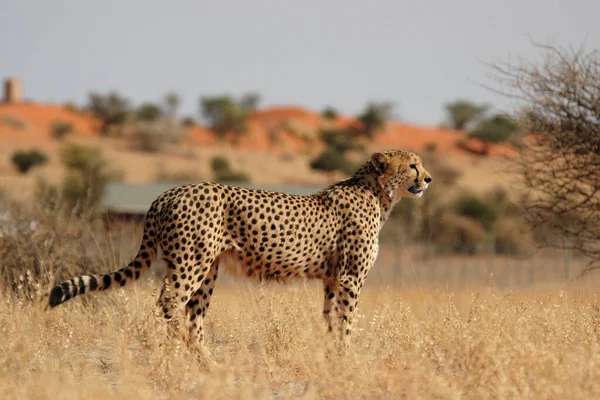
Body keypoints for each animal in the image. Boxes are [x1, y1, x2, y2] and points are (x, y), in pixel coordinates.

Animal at [47, 151, 432, 356]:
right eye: (412, 165)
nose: (428, 178)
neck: (377, 193)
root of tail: (167, 193)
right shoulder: (350, 277)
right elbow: (346, 321)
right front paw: (345, 358)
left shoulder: (332, 278)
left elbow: (330, 318)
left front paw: (330, 355)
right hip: (191, 262)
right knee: (169, 303)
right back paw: (178, 353)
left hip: (207, 270)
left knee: (194, 317)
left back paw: (209, 364)